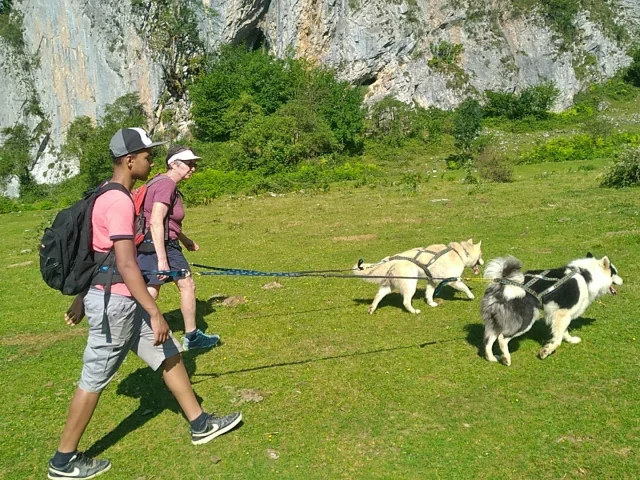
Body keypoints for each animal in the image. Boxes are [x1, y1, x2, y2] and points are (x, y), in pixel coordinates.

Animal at [352, 238, 482, 314]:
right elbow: (465, 287)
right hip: (410, 285)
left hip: (389, 286)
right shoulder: (453, 280)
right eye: (481, 255)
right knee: (406, 302)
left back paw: (371, 309)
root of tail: (394, 260)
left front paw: (431, 303)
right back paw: (414, 311)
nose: (483, 262)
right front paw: (471, 296)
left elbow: (429, 293)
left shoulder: (431, 281)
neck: (459, 253)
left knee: (378, 295)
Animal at [482, 253, 624, 366]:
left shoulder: (563, 315)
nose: (623, 280)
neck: (586, 276)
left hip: (496, 320)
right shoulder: (562, 313)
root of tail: (502, 283)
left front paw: (570, 340)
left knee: (489, 340)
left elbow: (563, 332)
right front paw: (546, 351)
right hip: (526, 318)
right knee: (502, 338)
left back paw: (492, 358)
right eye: (615, 273)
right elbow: (558, 340)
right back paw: (506, 358)